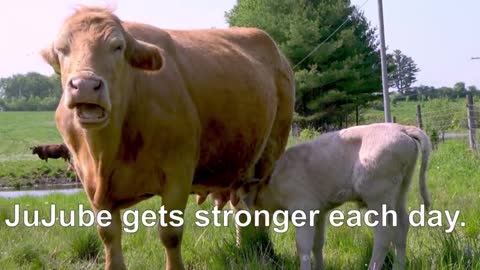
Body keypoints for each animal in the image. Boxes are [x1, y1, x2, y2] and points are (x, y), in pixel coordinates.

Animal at [41, 6, 294, 270]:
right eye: (62, 49)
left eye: (117, 46)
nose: (85, 85)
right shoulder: (88, 181)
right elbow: (108, 234)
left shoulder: (178, 173)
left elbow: (170, 233)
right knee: (243, 210)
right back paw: (246, 247)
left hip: (270, 152)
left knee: (258, 206)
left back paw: (262, 250)